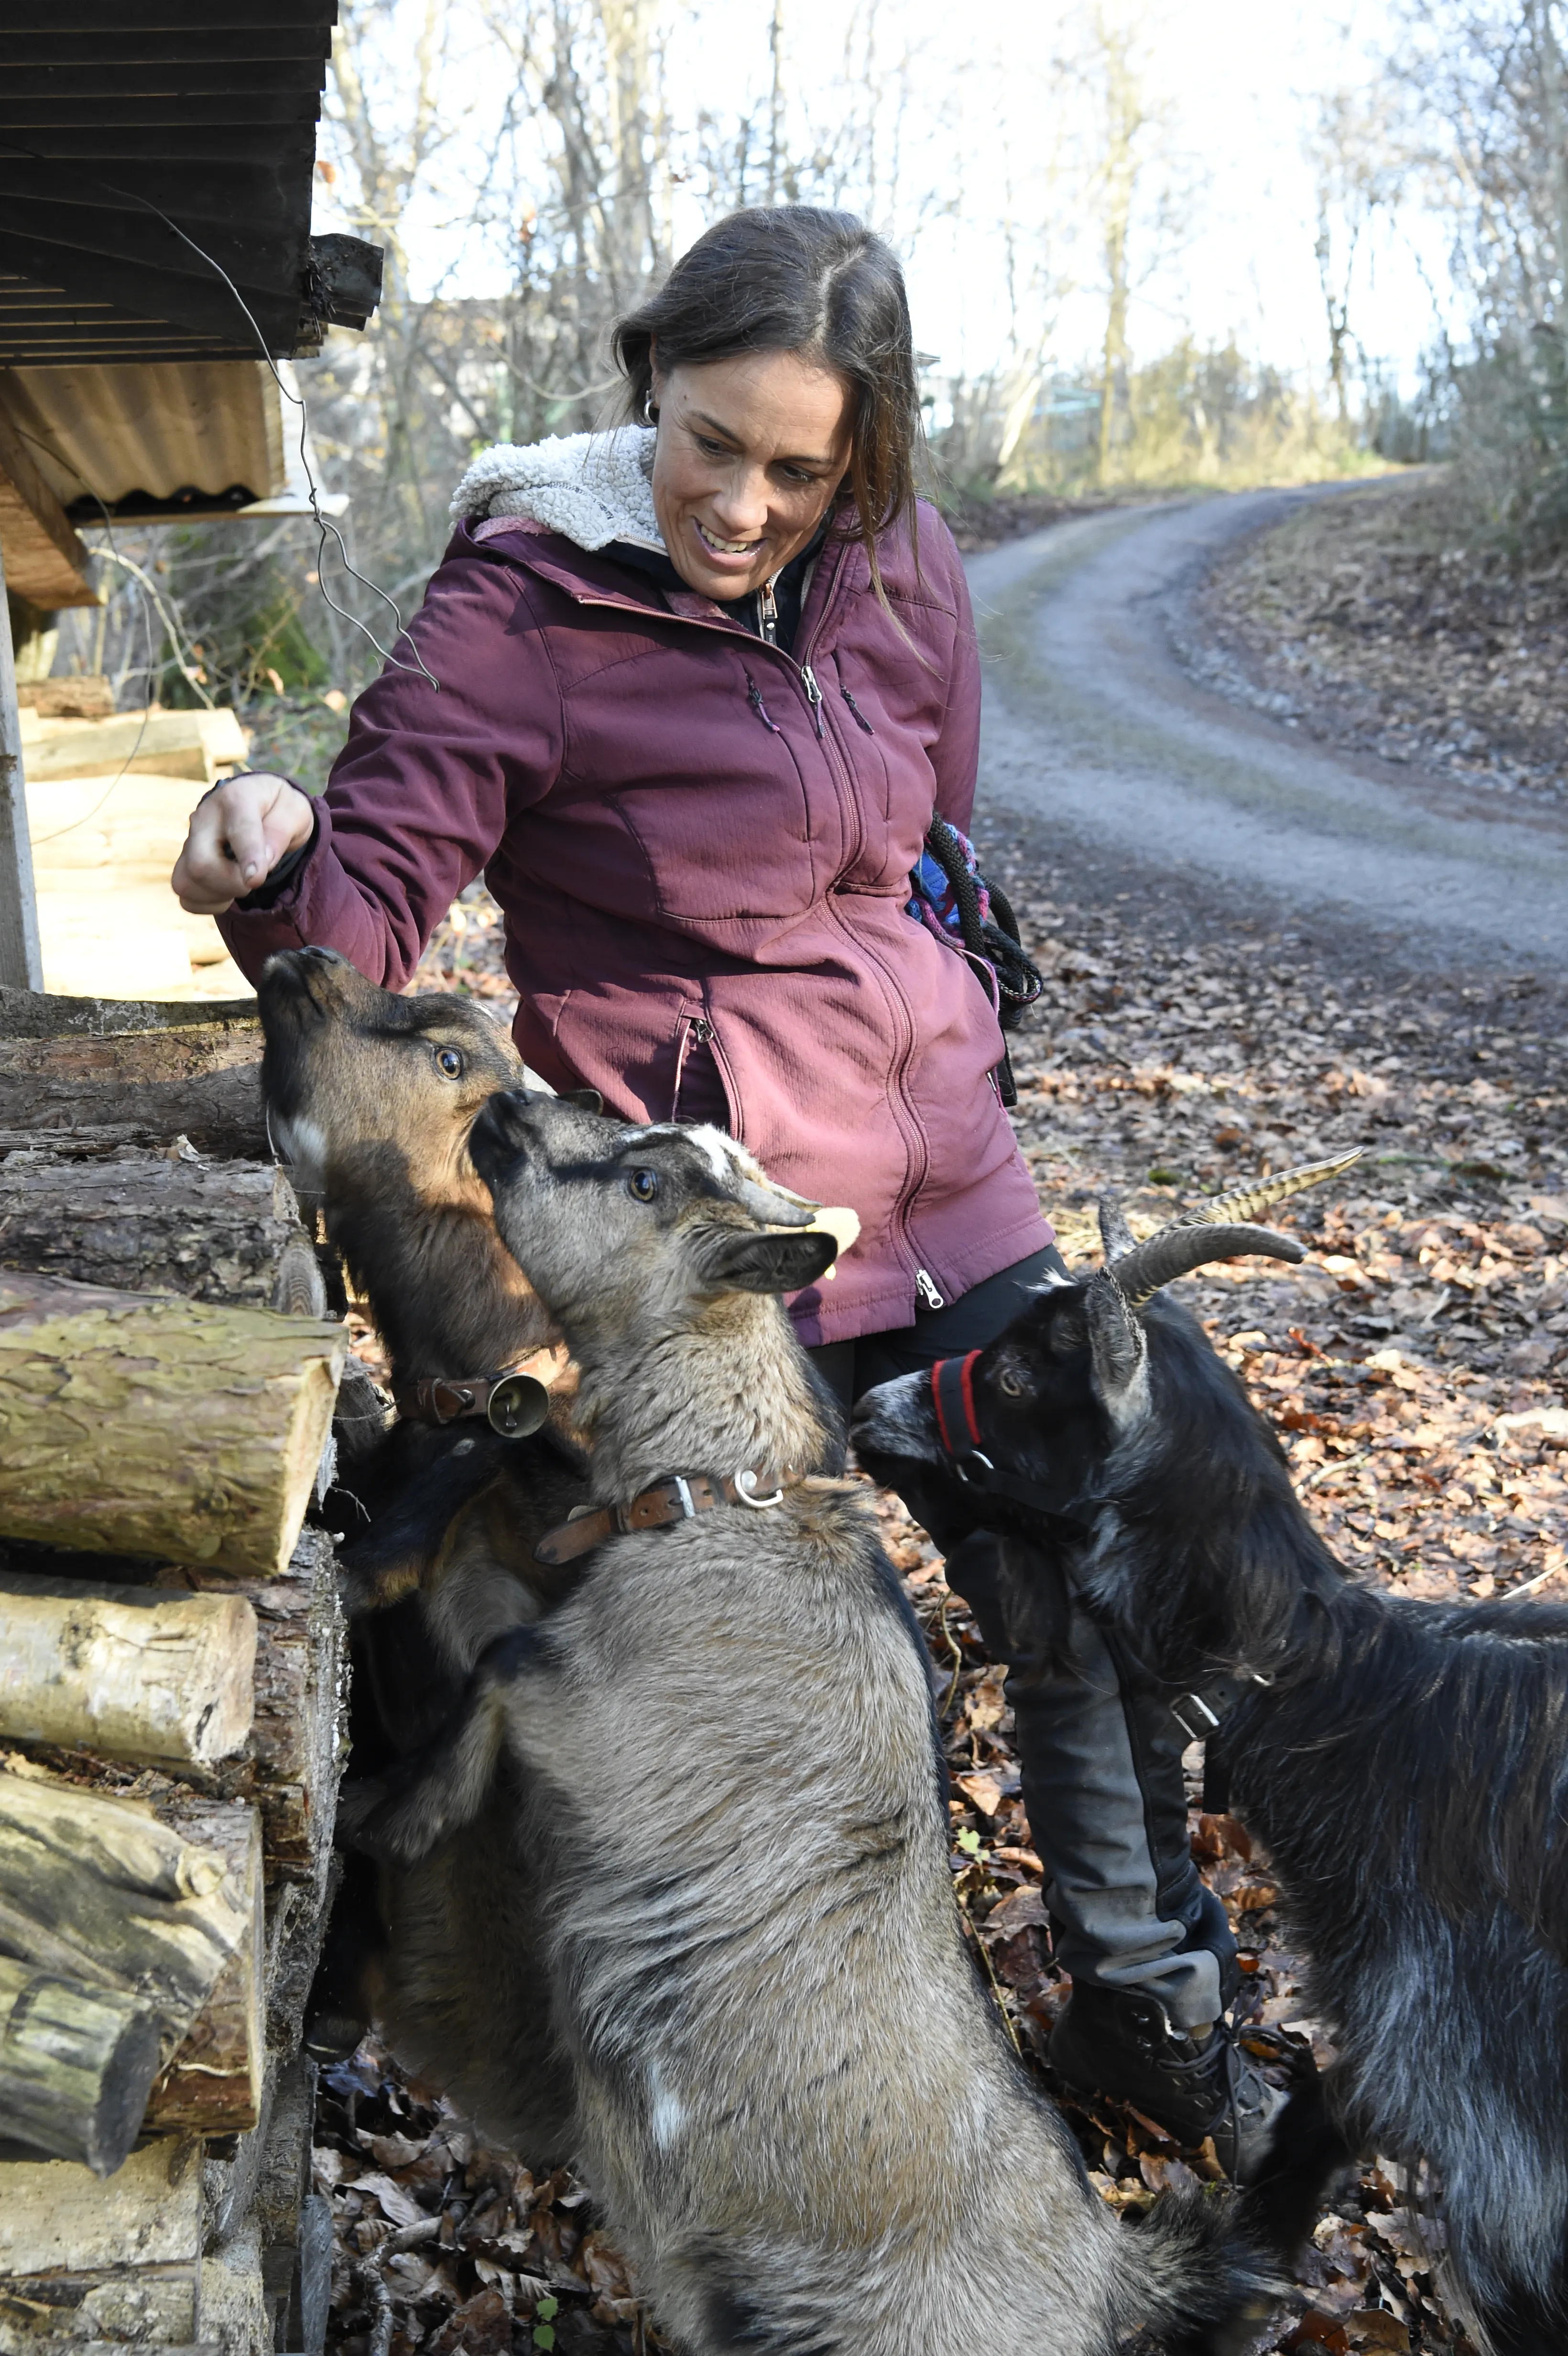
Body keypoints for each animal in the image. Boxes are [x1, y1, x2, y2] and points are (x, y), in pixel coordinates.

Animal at [337, 1098, 1262, 2356]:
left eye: (642, 1182)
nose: (508, 1110)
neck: (721, 1494)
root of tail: (1108, 2269)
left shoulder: (592, 1716)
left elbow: (496, 1664)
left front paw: (393, 1813)